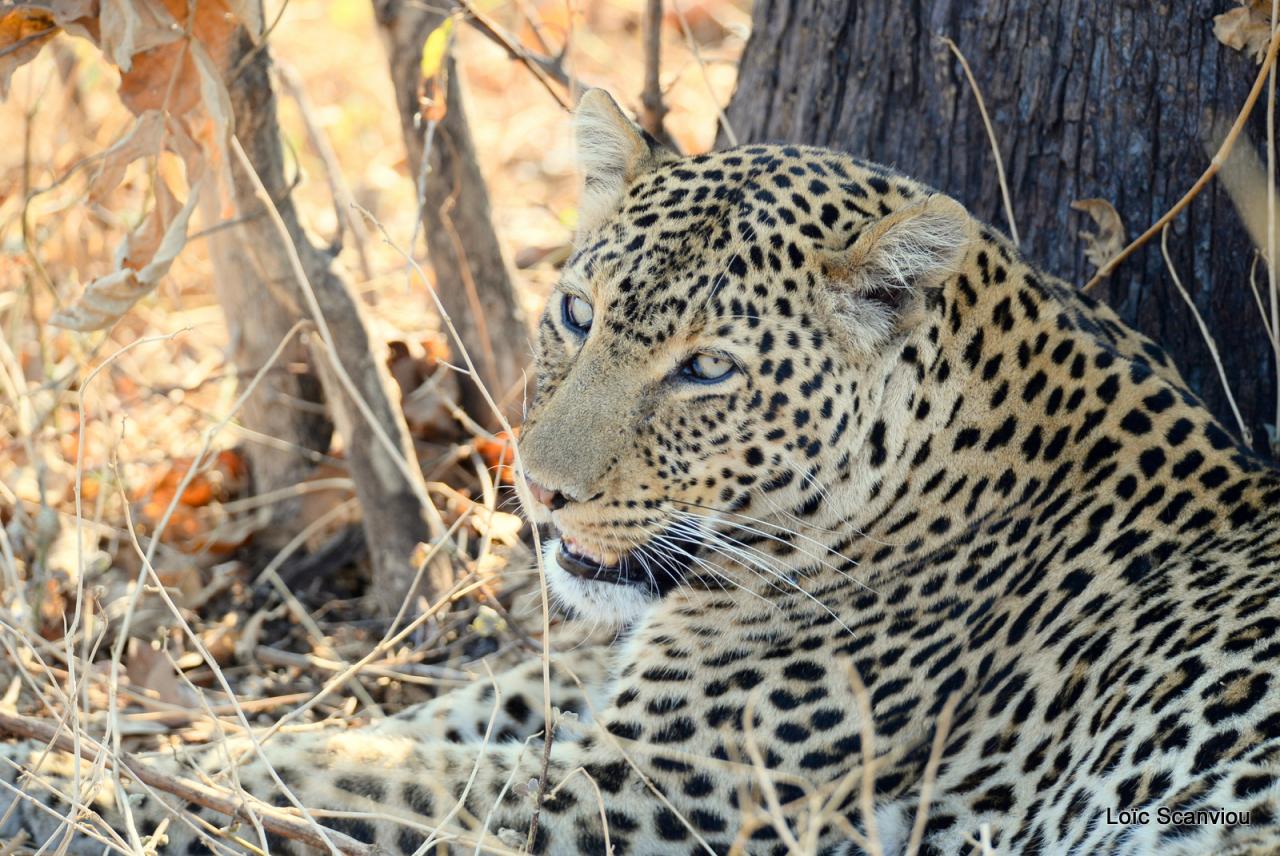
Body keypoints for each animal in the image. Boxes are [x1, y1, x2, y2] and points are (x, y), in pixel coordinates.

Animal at [2, 88, 1280, 854]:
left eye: (706, 370)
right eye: (577, 312)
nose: (537, 488)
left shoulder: (638, 792)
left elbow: (355, 782)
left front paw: (77, 792)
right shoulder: (584, 691)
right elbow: (371, 735)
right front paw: (120, 759)